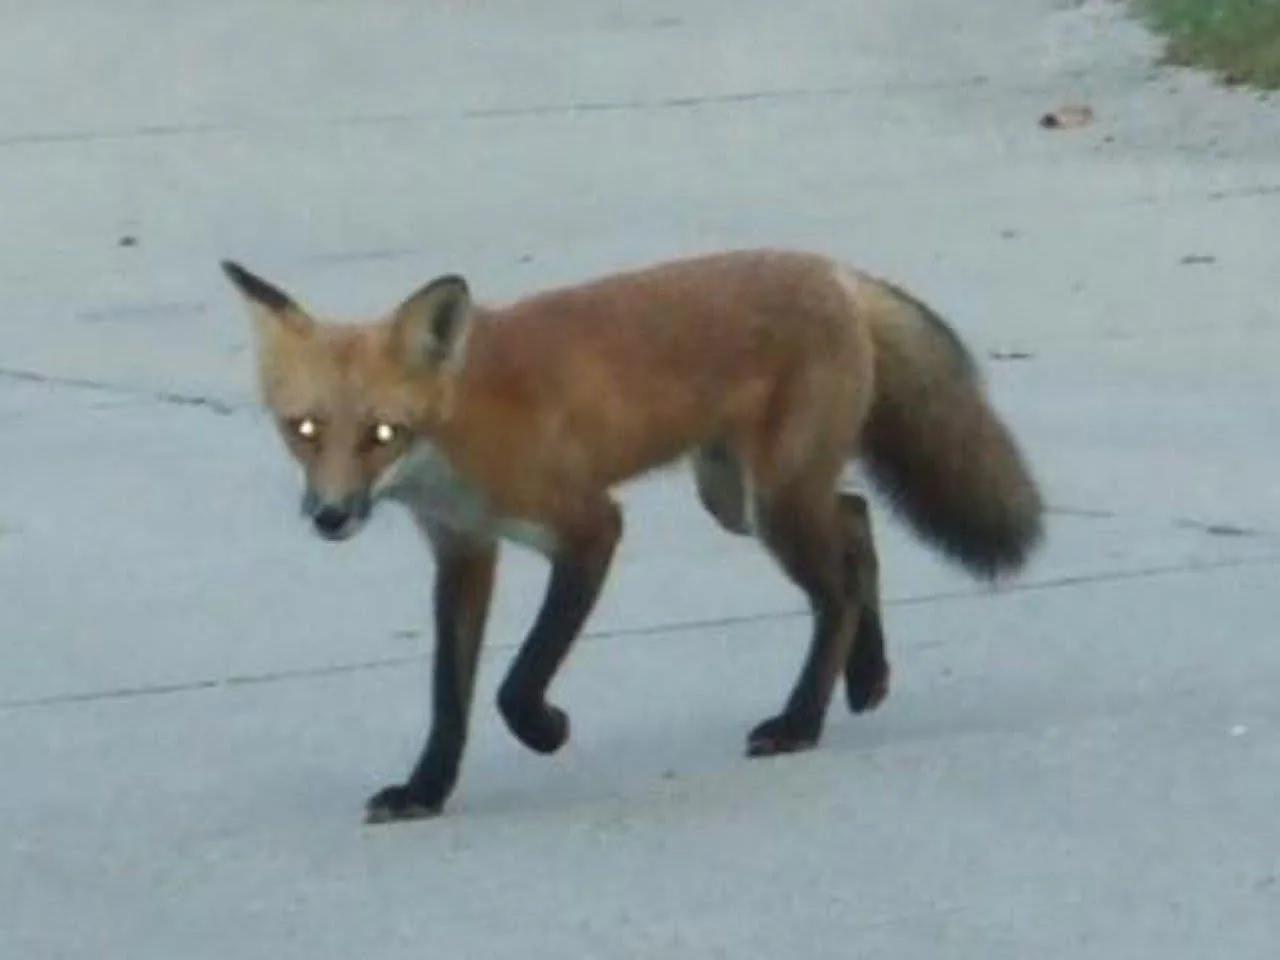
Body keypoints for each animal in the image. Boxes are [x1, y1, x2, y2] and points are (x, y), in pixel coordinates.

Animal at [222, 249, 1043, 824]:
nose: (331, 516)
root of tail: (832, 270)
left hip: (774, 504)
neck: (459, 434)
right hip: (740, 499)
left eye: (382, 434)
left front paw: (546, 731)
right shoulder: (463, 553)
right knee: (855, 521)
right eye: (303, 431)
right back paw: (867, 677)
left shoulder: (590, 527)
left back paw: (801, 720)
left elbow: (518, 681)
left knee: (836, 588)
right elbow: (448, 697)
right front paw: (425, 790)